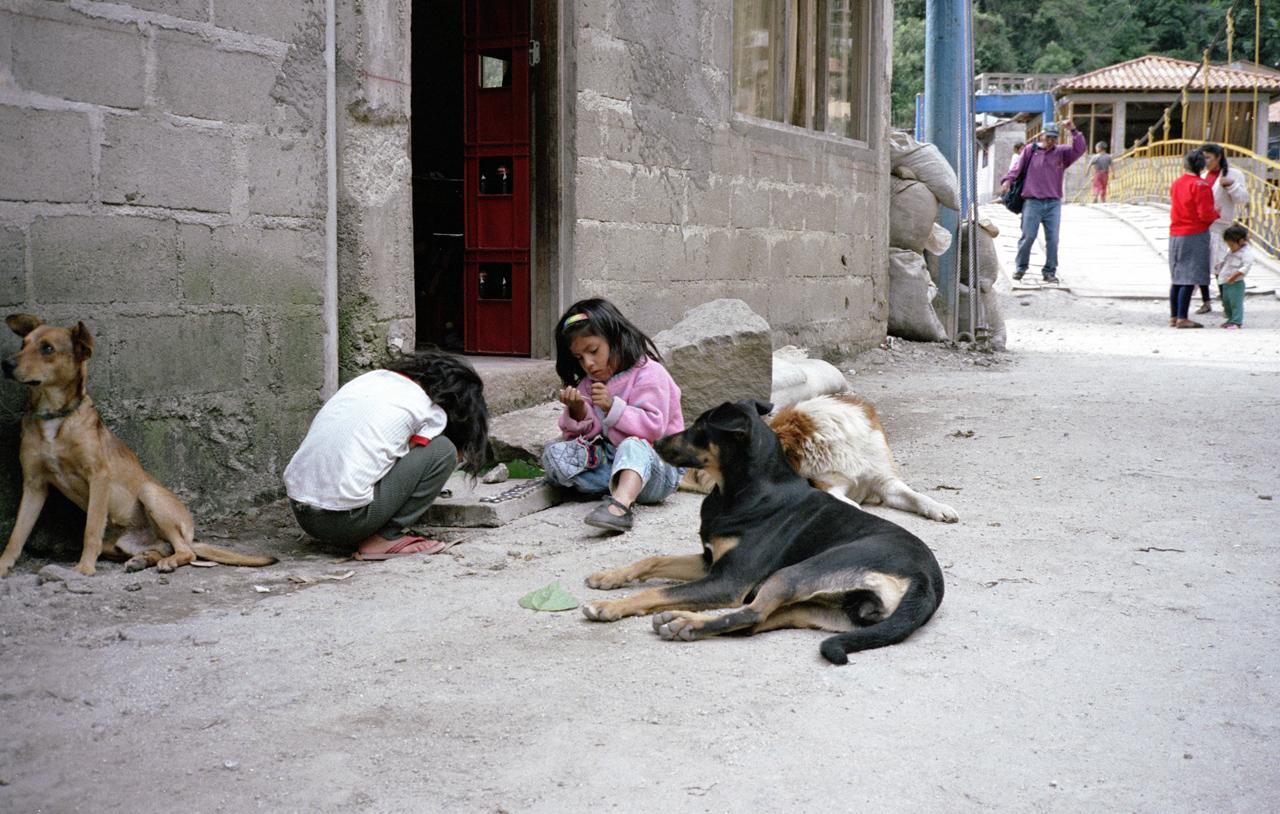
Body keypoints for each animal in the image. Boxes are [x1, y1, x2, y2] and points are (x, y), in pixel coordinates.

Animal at [0, 314, 277, 575]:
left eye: (47, 349)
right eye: (23, 344)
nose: (6, 364)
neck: (55, 417)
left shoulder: (99, 477)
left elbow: (91, 530)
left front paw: (85, 568)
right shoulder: (34, 484)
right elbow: (17, 534)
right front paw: (4, 565)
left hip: (149, 493)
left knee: (186, 551)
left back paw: (167, 561)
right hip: (116, 544)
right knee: (162, 548)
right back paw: (142, 560)